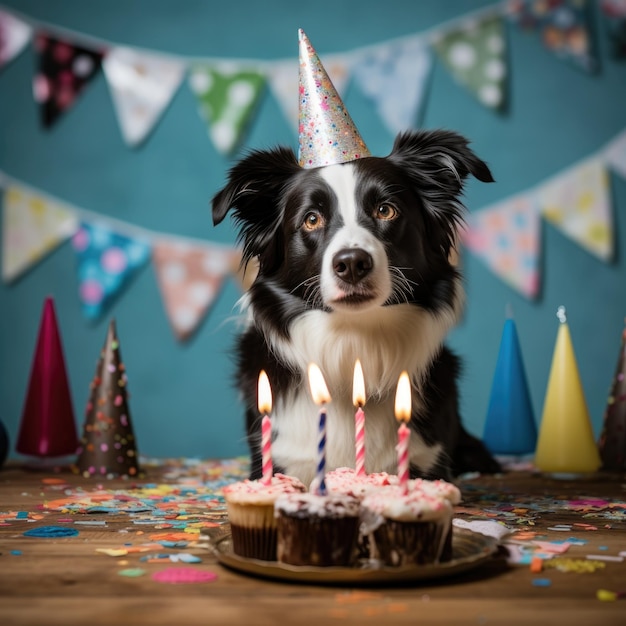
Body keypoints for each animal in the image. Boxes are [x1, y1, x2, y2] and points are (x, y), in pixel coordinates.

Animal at [212, 129, 500, 486]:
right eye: (311, 219)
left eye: (386, 210)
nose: (352, 263)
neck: (355, 343)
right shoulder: (278, 460)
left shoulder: (431, 464)